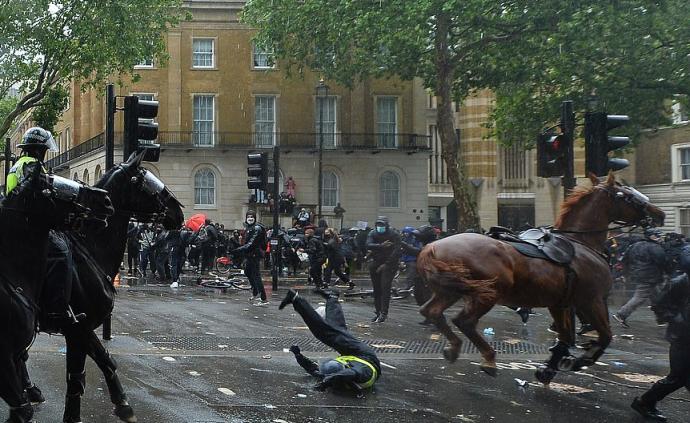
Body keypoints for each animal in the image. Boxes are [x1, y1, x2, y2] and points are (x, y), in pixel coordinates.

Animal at [20, 152, 183, 423]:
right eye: (145, 180)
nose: (179, 212)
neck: (90, 249)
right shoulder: (76, 328)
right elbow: (77, 377)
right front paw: (73, 415)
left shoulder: (85, 328)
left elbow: (106, 360)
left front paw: (123, 404)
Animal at [416, 173, 664, 384]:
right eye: (628, 195)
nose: (659, 213)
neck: (581, 243)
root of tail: (432, 247)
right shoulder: (592, 300)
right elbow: (605, 336)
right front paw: (580, 360)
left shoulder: (560, 304)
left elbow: (565, 337)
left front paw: (548, 369)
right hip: (486, 293)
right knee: (464, 321)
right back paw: (488, 358)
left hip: (450, 291)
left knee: (432, 311)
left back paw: (455, 347)